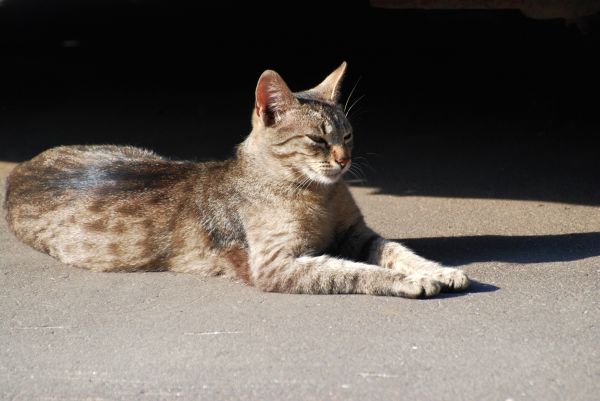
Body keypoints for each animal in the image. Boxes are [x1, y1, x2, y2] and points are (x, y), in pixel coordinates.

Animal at [4, 63, 472, 296]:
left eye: (349, 135)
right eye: (318, 139)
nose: (345, 159)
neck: (319, 195)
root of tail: (19, 169)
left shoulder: (356, 234)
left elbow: (397, 251)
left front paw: (438, 270)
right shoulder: (275, 264)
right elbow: (354, 272)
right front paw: (412, 282)